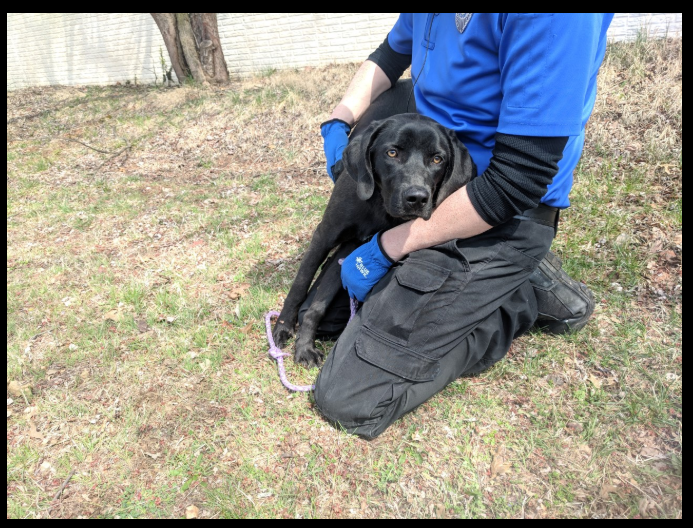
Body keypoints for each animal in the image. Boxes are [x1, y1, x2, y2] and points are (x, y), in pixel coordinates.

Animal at [272, 111, 476, 368]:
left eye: (437, 159)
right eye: (392, 153)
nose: (417, 198)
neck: (378, 204)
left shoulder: (350, 252)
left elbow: (318, 306)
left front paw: (304, 345)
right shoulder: (325, 236)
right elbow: (300, 285)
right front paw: (284, 329)